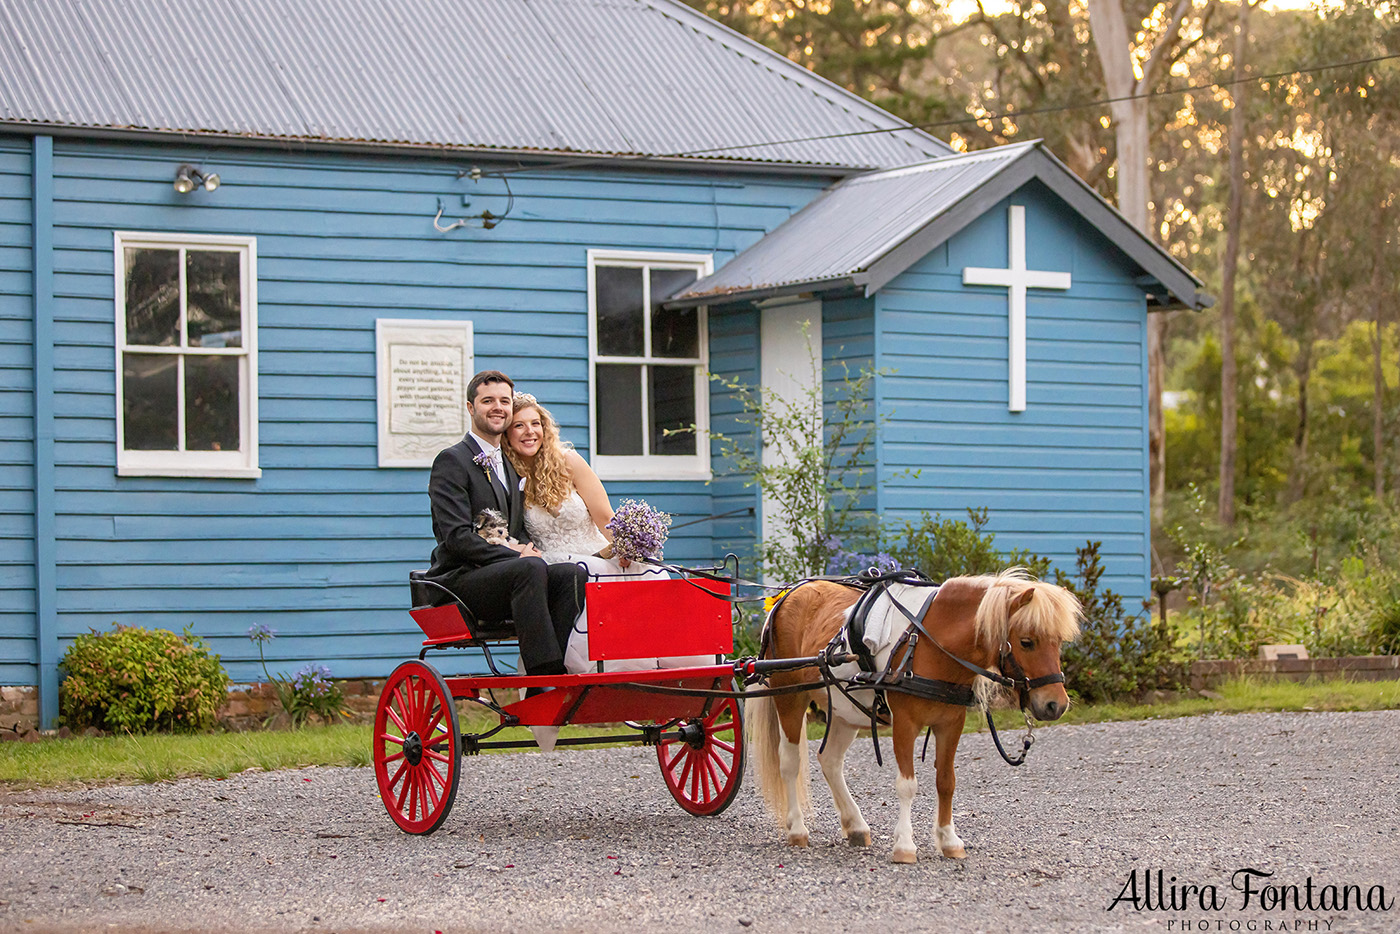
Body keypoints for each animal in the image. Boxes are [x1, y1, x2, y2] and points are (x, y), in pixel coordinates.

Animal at [744, 571, 1080, 868]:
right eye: (1026, 641)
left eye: (1058, 641)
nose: (1056, 704)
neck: (930, 641)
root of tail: (787, 596)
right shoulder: (905, 723)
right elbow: (907, 785)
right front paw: (905, 846)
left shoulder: (951, 723)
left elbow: (946, 782)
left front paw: (949, 840)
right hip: (789, 696)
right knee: (790, 762)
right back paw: (797, 829)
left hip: (844, 708)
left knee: (830, 760)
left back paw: (855, 825)